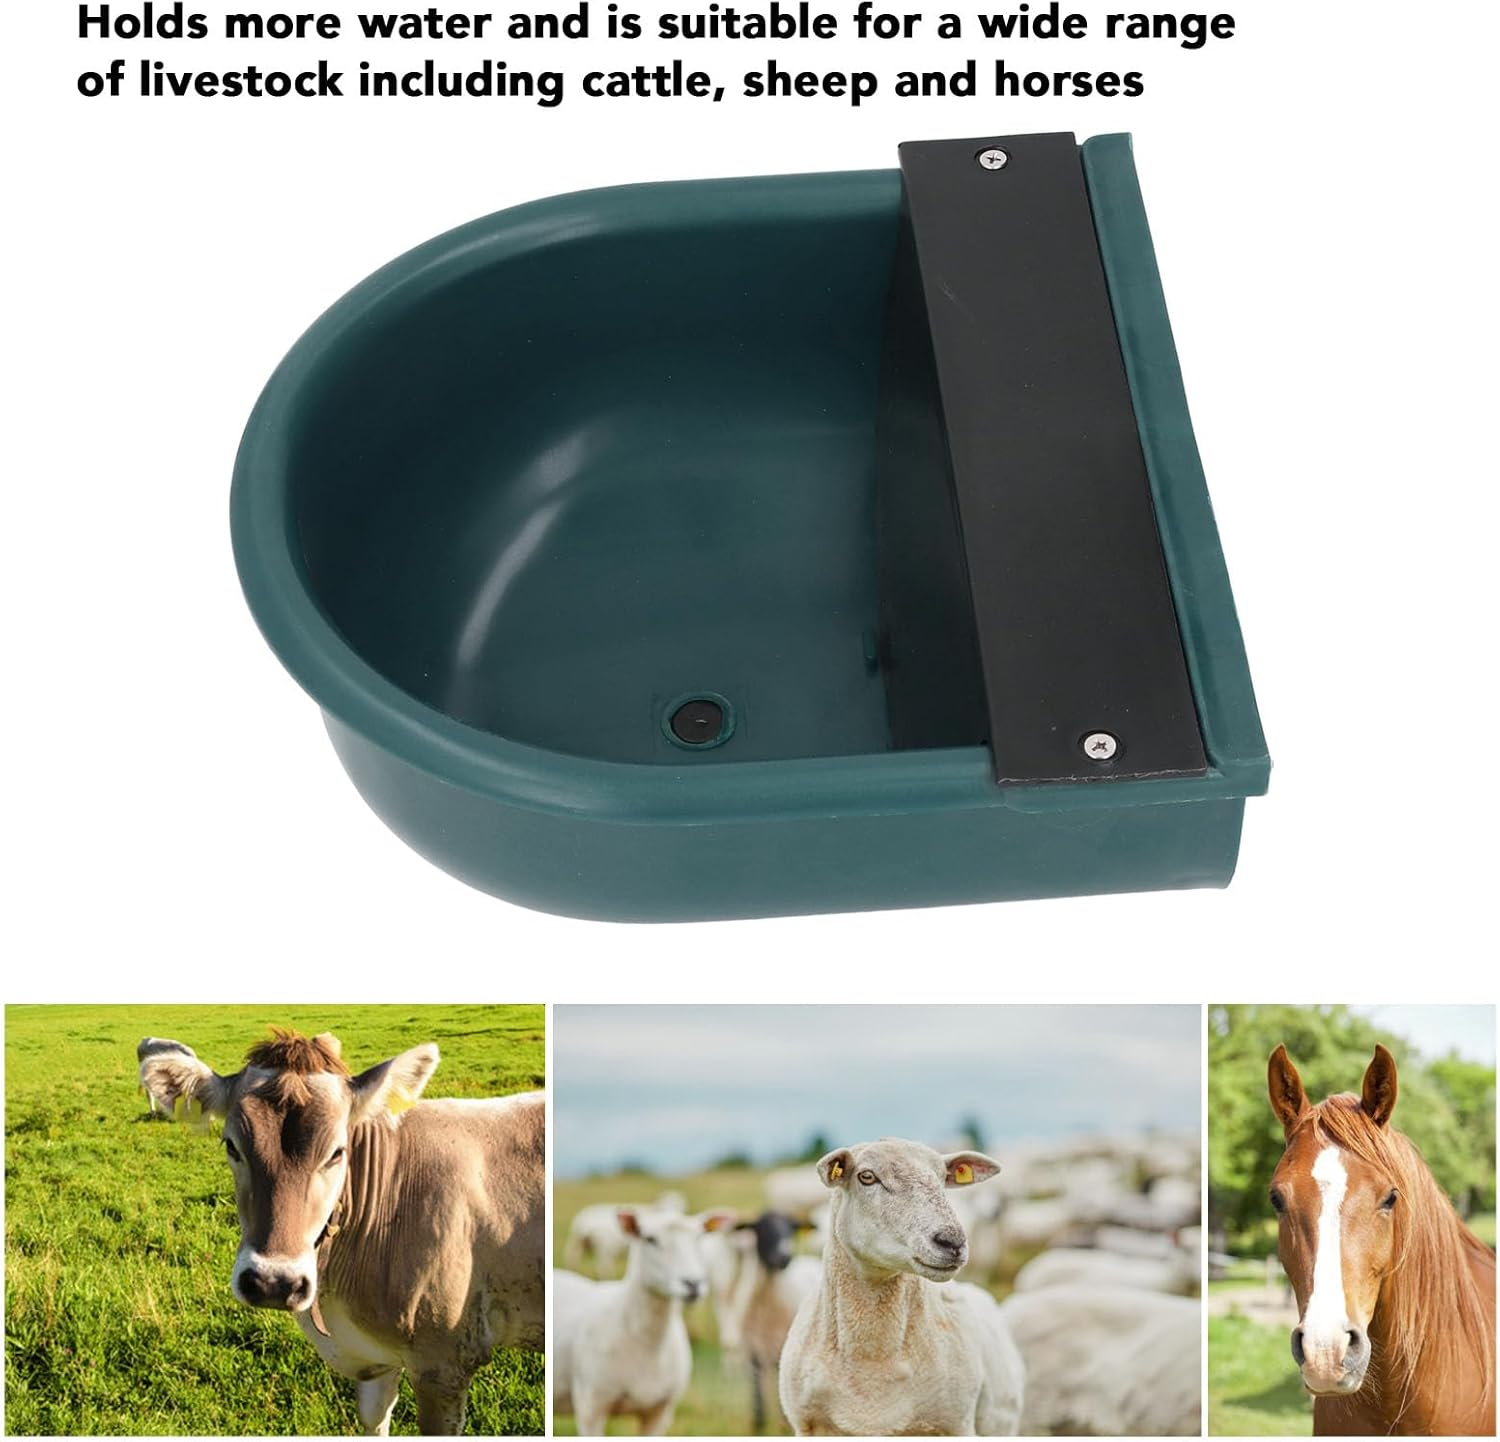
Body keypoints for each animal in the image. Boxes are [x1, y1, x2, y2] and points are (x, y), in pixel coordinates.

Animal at [139, 1029, 544, 1435]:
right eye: (231, 1145)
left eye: (337, 1152)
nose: (273, 1283)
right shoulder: (375, 1361)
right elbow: (374, 1419)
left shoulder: (443, 1365)